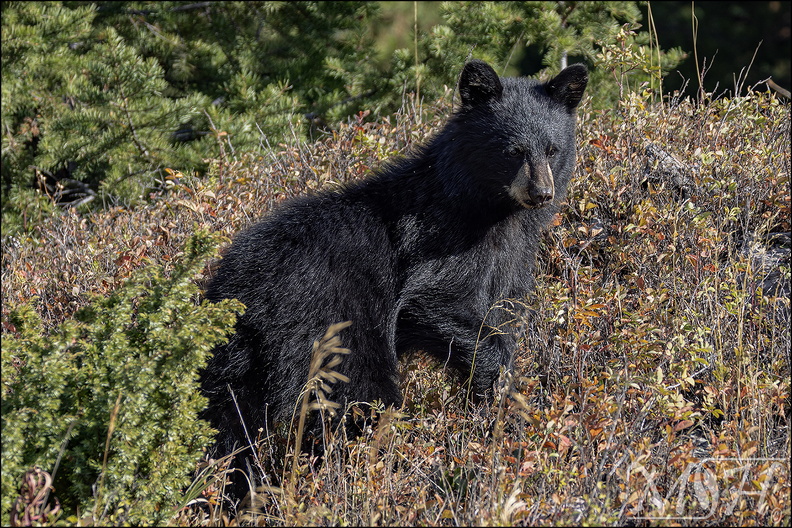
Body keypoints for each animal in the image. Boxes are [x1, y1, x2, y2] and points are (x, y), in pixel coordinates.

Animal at [200, 59, 588, 496]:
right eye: (513, 151)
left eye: (553, 149)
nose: (541, 193)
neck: (494, 213)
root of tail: (243, 294)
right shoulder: (441, 243)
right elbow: (433, 301)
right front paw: (498, 387)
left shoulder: (513, 258)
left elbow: (504, 310)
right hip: (334, 327)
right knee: (357, 401)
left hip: (235, 359)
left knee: (228, 422)